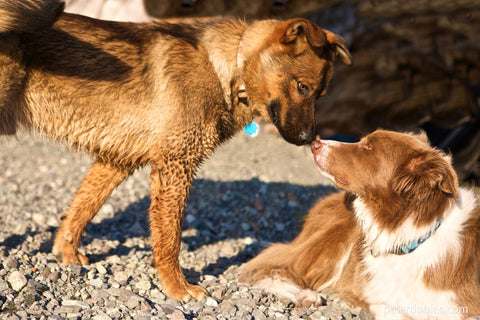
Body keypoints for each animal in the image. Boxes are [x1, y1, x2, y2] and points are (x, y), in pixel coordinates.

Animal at [242, 130, 480, 320]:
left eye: (368, 147)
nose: (315, 143)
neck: (413, 235)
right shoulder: (378, 298)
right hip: (335, 239)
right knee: (266, 267)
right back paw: (303, 295)